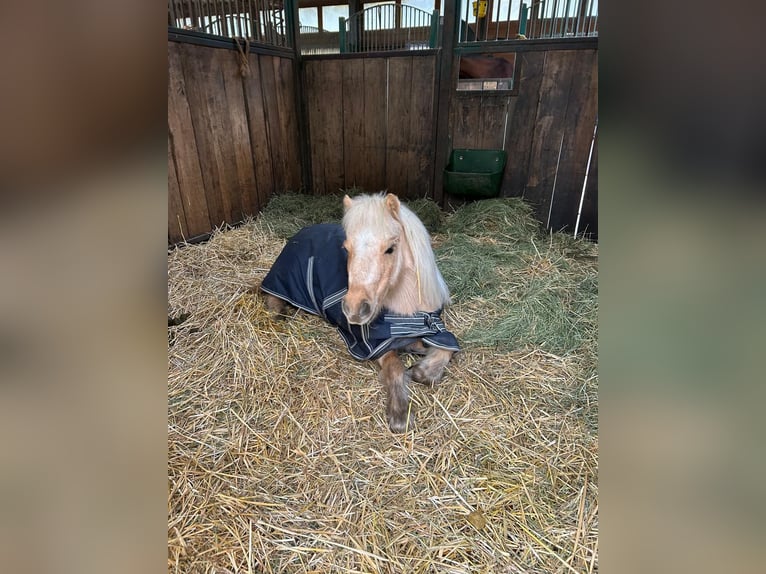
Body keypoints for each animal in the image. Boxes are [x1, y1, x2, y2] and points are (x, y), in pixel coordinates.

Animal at [260, 192, 459, 433]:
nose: (354, 309)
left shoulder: (435, 329)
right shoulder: (374, 344)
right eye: (347, 249)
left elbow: (448, 348)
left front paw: (423, 371)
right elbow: (396, 367)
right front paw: (400, 415)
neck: (405, 313)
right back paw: (278, 312)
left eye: (390, 249)